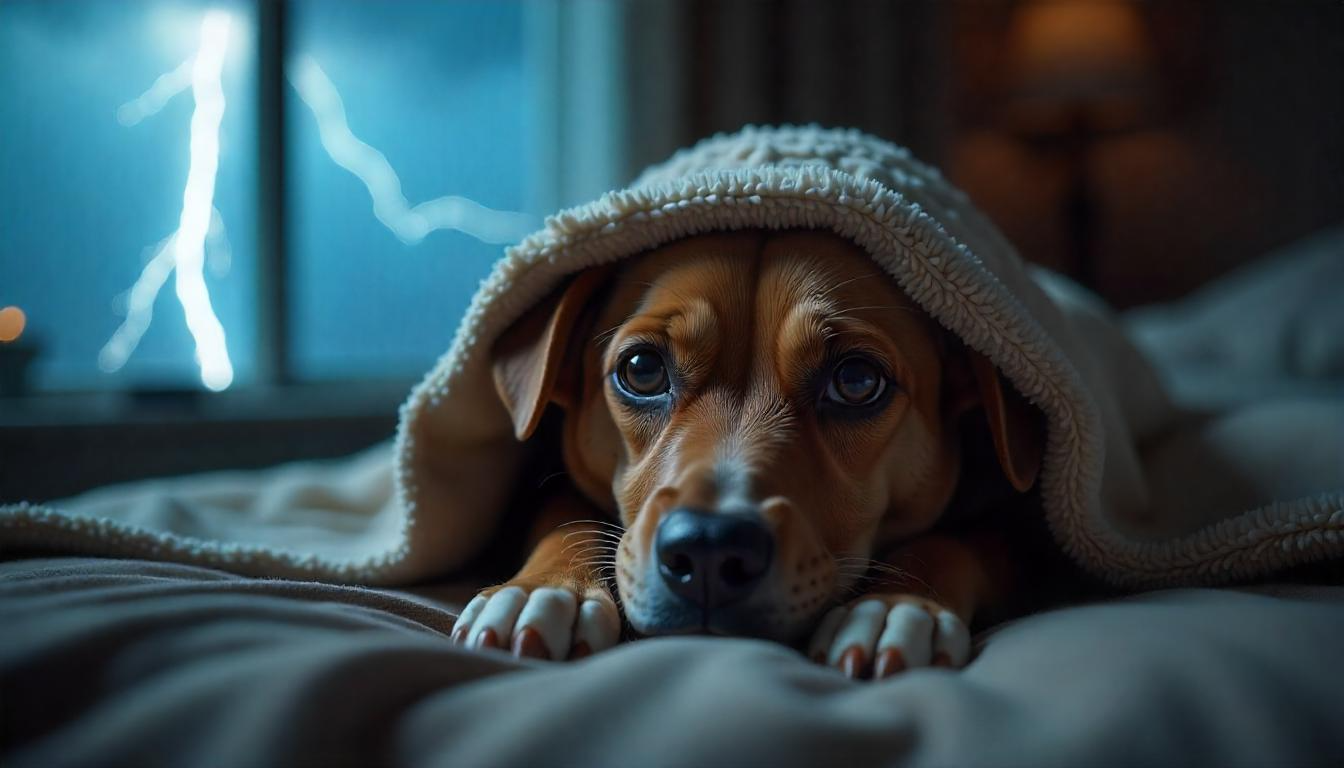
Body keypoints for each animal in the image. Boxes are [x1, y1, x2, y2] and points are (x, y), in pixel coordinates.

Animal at [446, 228, 1042, 677]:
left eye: (856, 380)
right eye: (642, 369)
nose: (709, 548)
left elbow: (952, 542)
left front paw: (893, 608)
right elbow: (564, 516)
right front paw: (542, 591)